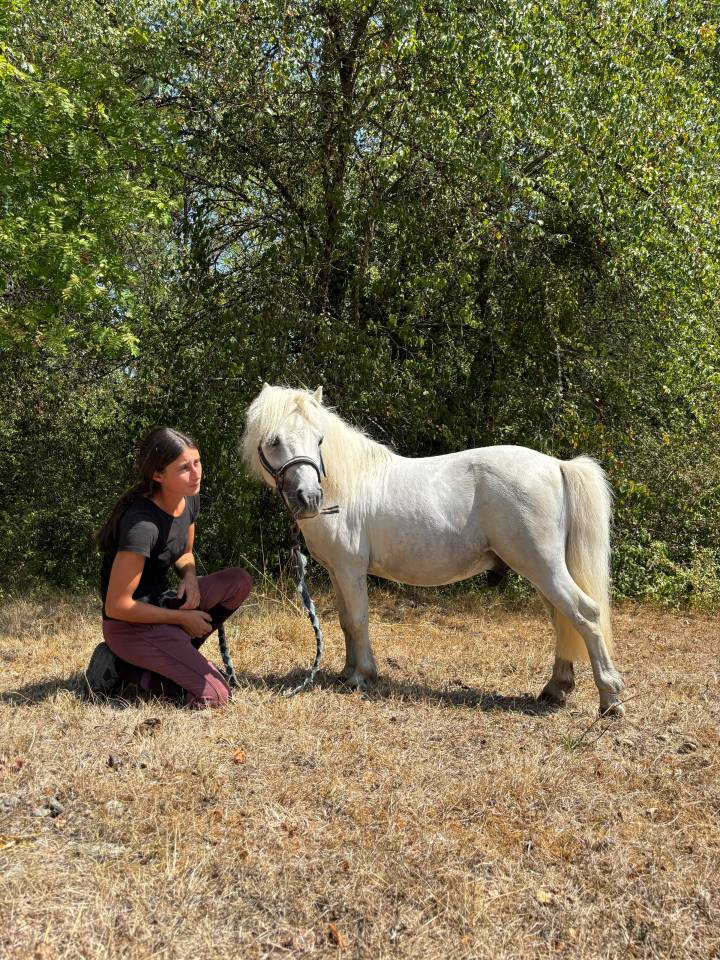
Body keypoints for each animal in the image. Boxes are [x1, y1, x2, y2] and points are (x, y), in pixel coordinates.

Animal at [242, 384, 626, 716]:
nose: (309, 498)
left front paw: (361, 675)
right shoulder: (337, 571)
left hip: (543, 568)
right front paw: (348, 672)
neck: (346, 487)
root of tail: (558, 465)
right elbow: (346, 622)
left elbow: (358, 619)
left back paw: (610, 699)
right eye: (274, 440)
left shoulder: (351, 569)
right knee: (564, 619)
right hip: (543, 571)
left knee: (585, 614)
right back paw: (556, 689)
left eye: (319, 439)